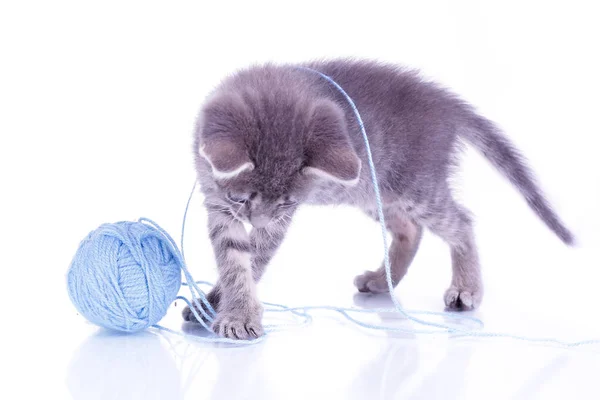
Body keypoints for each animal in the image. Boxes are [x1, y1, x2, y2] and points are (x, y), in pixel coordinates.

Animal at [182, 60, 572, 340]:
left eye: (286, 203)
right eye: (241, 198)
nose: (259, 220)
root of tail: (444, 103)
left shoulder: (277, 221)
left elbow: (252, 260)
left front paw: (235, 314)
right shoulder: (219, 207)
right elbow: (234, 260)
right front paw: (216, 302)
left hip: (416, 188)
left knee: (460, 221)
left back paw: (466, 287)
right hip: (374, 191)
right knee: (410, 230)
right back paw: (382, 280)